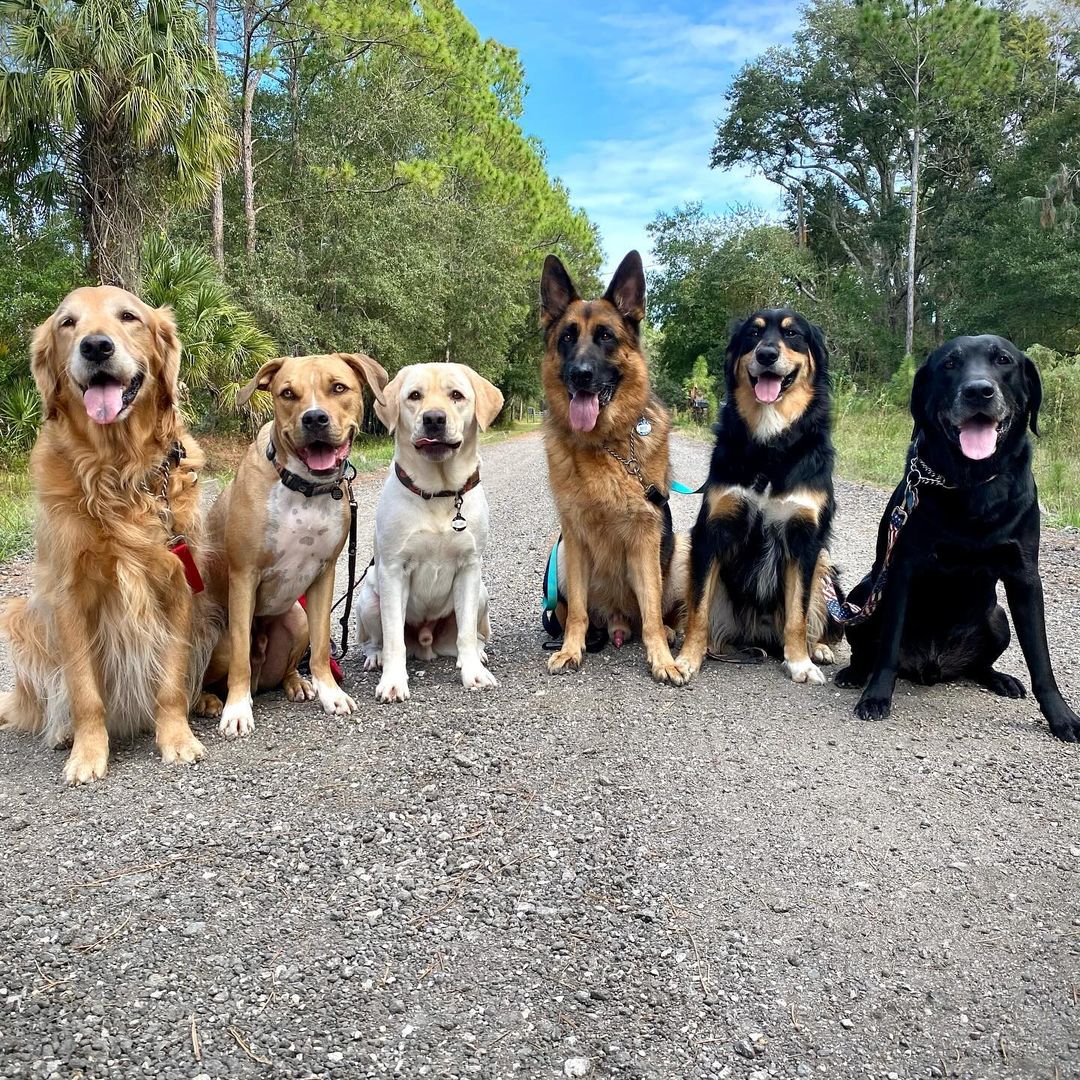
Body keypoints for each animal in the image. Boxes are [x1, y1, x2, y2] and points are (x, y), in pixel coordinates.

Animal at [203, 352, 388, 734]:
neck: (303, 487)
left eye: (338, 388)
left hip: (297, 618)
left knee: (290, 665)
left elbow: (319, 650)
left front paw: (330, 694)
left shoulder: (324, 575)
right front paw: (237, 710)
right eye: (287, 393)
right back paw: (210, 701)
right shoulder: (243, 577)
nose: (315, 418)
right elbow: (240, 659)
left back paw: (297, 683)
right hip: (219, 639)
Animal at [356, 360, 503, 699]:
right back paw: (376, 657)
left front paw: (473, 674)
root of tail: (425, 643)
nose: (434, 418)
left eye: (457, 395)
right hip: (367, 599)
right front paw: (393, 681)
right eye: (414, 396)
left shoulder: (469, 567)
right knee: (376, 639)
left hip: (482, 593)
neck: (440, 493)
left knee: (472, 636)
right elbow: (394, 637)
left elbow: (466, 633)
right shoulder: (393, 570)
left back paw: (475, 654)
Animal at [673, 311, 842, 682]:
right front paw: (688, 658)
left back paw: (819, 648)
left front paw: (800, 662)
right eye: (753, 333)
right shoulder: (711, 531)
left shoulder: (805, 540)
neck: (770, 444)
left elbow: (798, 613)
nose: (766, 355)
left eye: (793, 334)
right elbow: (698, 608)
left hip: (824, 566)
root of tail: (757, 636)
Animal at [833, 334, 1080, 743]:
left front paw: (1061, 718)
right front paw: (876, 697)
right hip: (865, 593)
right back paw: (854, 673)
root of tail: (933, 667)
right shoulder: (903, 570)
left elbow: (1041, 662)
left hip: (998, 619)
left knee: (978, 666)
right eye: (949, 364)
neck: (971, 483)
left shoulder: (1025, 578)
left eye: (1003, 360)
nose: (978, 390)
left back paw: (999, 679)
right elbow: (888, 647)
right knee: (867, 651)